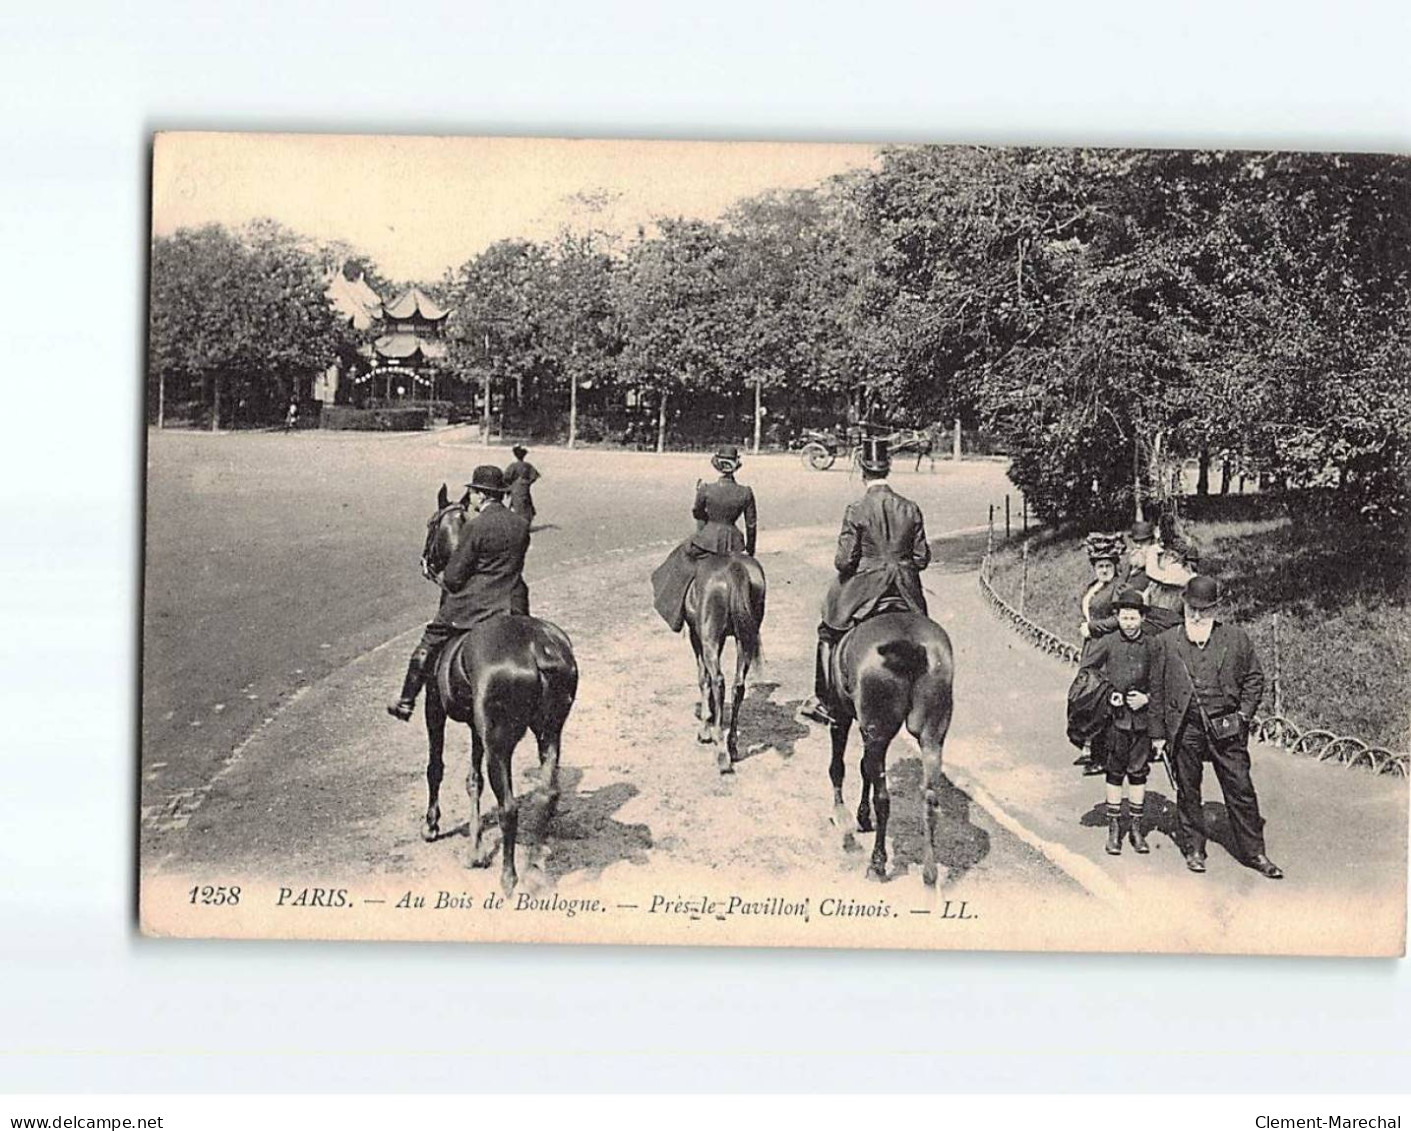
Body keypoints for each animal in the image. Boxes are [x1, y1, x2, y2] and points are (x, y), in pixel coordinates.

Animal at [414, 482, 581, 891]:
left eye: (430, 523)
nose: (424, 562)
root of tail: (539, 649)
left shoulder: (433, 708)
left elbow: (436, 765)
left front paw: (432, 825)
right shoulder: (478, 727)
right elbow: (472, 779)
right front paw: (474, 850)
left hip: (500, 742)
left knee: (509, 806)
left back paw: (509, 878)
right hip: (549, 730)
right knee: (548, 794)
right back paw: (535, 861)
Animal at [680, 549, 761, 772]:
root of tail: (735, 567)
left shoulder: (698, 637)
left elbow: (704, 678)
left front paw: (705, 729)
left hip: (709, 640)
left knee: (718, 681)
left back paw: (721, 750)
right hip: (745, 640)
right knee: (738, 685)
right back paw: (732, 745)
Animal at [824, 603, 959, 885]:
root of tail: (910, 646)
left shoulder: (841, 715)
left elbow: (838, 767)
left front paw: (843, 815)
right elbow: (864, 768)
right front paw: (861, 816)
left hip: (876, 728)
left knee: (883, 799)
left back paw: (877, 863)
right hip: (931, 733)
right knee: (930, 797)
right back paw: (930, 874)